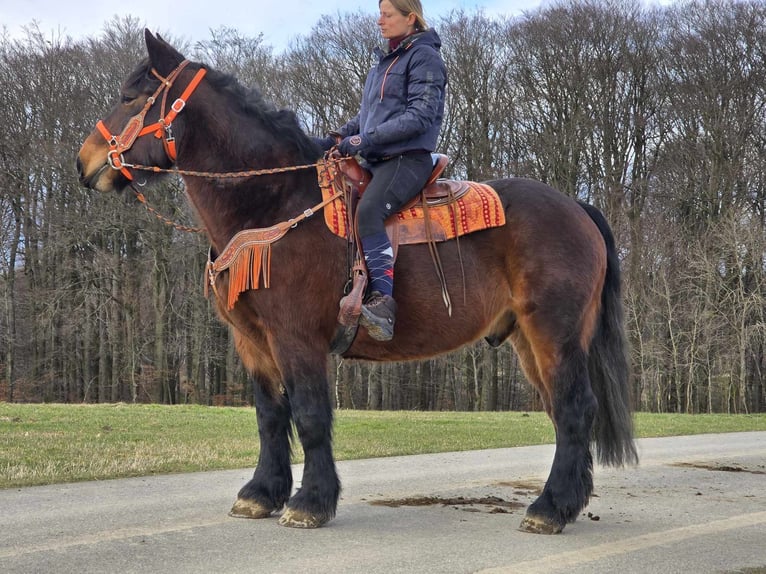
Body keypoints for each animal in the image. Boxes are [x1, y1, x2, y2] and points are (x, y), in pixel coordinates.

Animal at [78, 30, 640, 536]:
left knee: (574, 409)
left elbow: (309, 416)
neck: (275, 202)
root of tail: (578, 208)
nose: (85, 161)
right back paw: (566, 503)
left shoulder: (297, 338)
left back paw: (549, 509)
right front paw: (261, 494)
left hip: (553, 333)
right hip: (529, 338)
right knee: (563, 411)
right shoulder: (254, 342)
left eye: (130, 97)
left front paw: (310, 503)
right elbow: (270, 416)